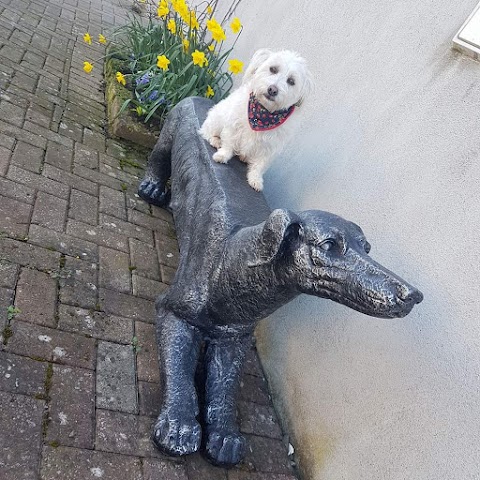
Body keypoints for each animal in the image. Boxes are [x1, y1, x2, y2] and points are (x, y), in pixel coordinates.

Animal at [198, 49, 314, 191]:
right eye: (273, 69)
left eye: (291, 81)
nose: (272, 90)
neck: (263, 114)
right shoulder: (233, 125)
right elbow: (229, 143)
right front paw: (223, 155)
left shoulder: (271, 147)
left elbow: (260, 165)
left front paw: (255, 178)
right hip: (217, 118)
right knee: (206, 131)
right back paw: (215, 140)